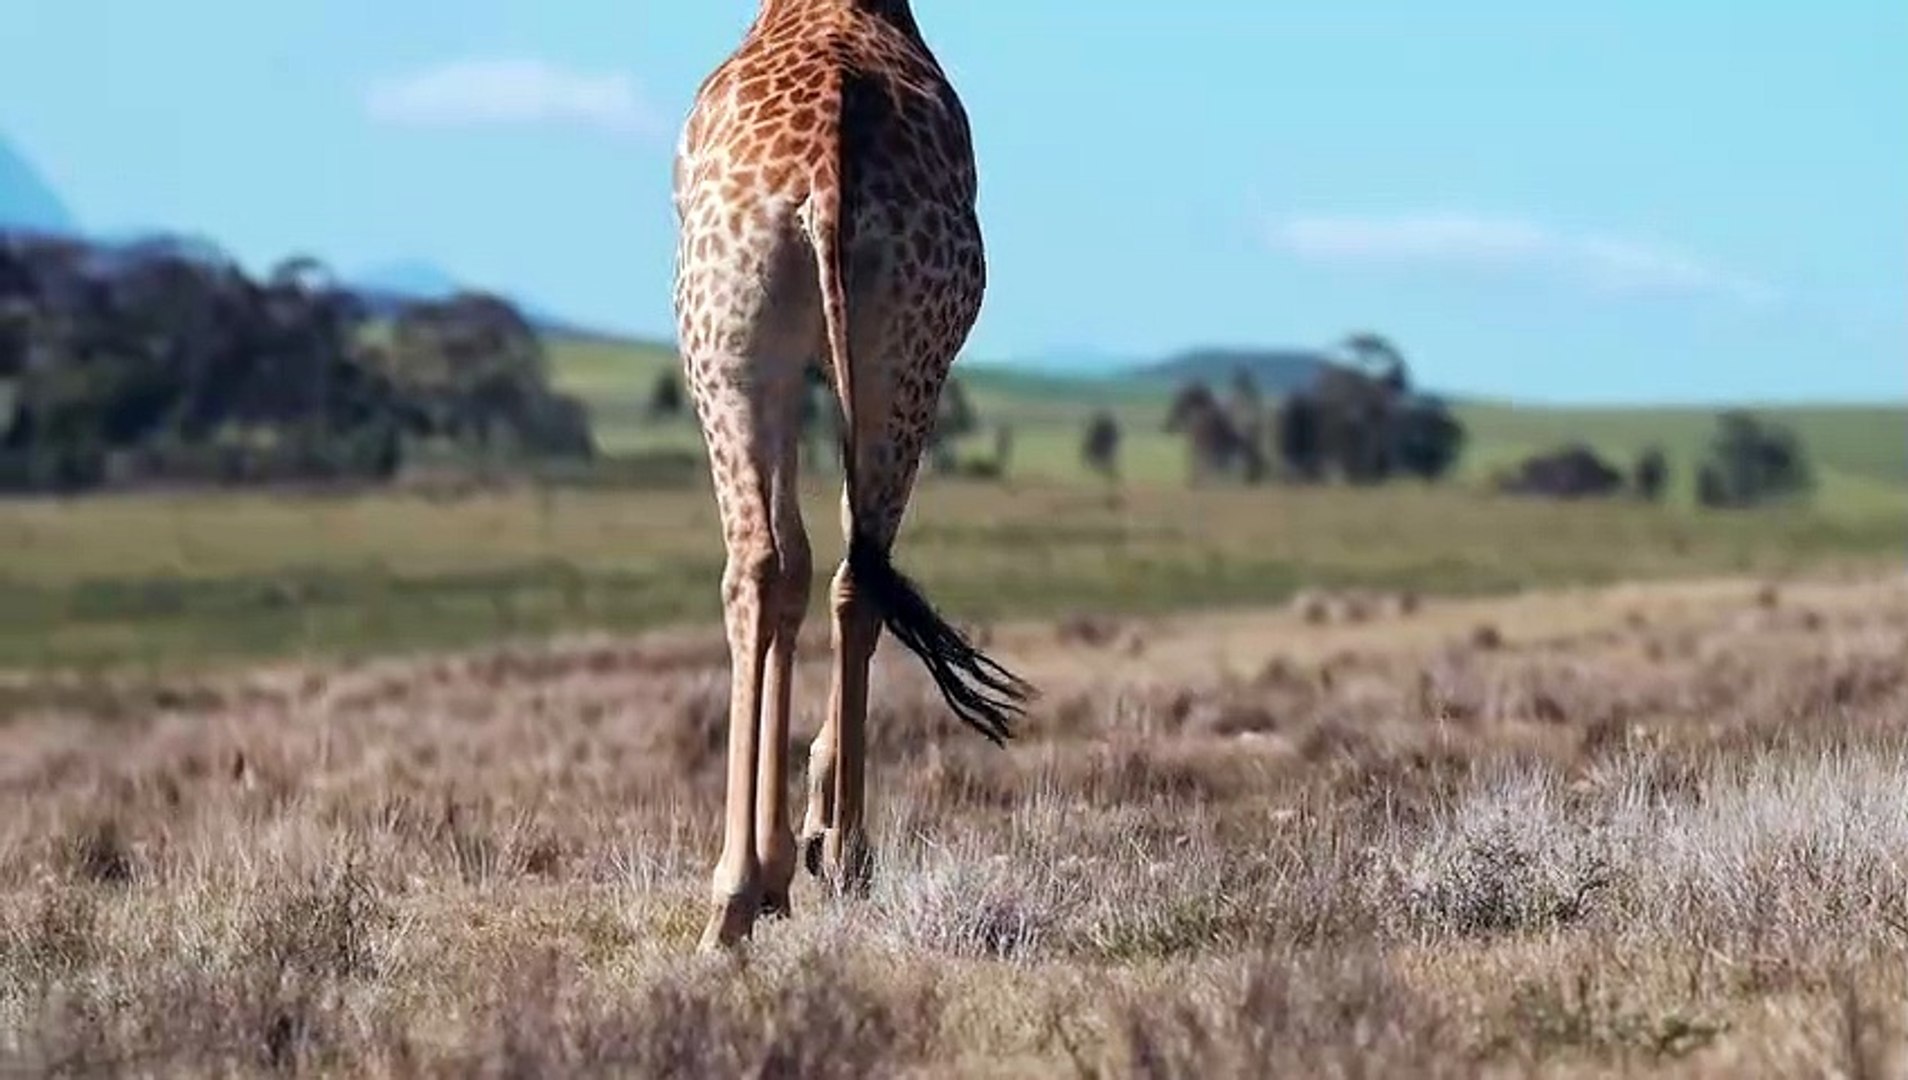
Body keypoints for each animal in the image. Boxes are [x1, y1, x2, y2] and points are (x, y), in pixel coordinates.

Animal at [670, 0, 1036, 952]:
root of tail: (827, 182)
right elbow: (820, 567)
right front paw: (803, 848)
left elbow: (786, 567)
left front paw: (777, 863)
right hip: (904, 362)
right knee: (852, 571)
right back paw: (836, 856)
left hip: (723, 356)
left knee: (756, 567)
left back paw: (738, 895)